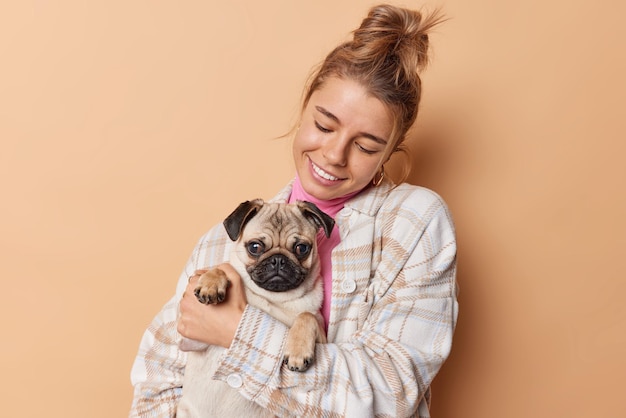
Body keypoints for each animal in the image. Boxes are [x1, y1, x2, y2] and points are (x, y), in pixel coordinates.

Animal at [177, 199, 332, 418]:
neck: (273, 298)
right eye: (255, 247)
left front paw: (298, 351)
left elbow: (305, 315)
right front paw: (211, 283)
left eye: (302, 248)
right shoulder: (191, 340)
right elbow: (222, 268)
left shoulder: (322, 334)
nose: (278, 259)